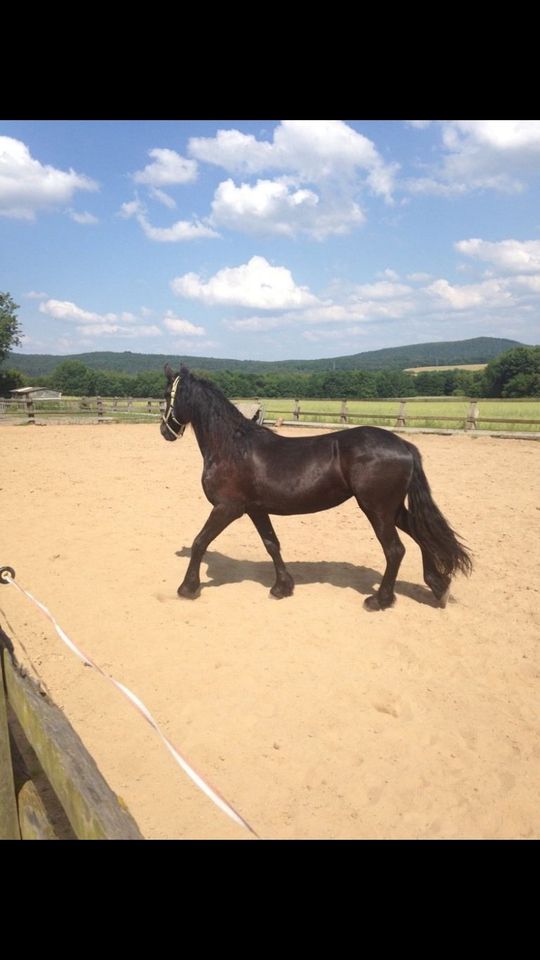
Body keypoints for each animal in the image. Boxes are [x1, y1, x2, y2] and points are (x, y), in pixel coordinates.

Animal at [160, 364, 472, 612]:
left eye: (165, 397)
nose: (165, 432)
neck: (232, 448)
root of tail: (404, 445)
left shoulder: (228, 508)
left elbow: (201, 541)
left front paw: (187, 588)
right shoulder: (255, 509)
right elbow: (272, 544)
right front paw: (282, 587)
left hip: (378, 509)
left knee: (395, 550)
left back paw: (379, 600)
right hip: (392, 509)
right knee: (421, 535)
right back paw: (438, 587)